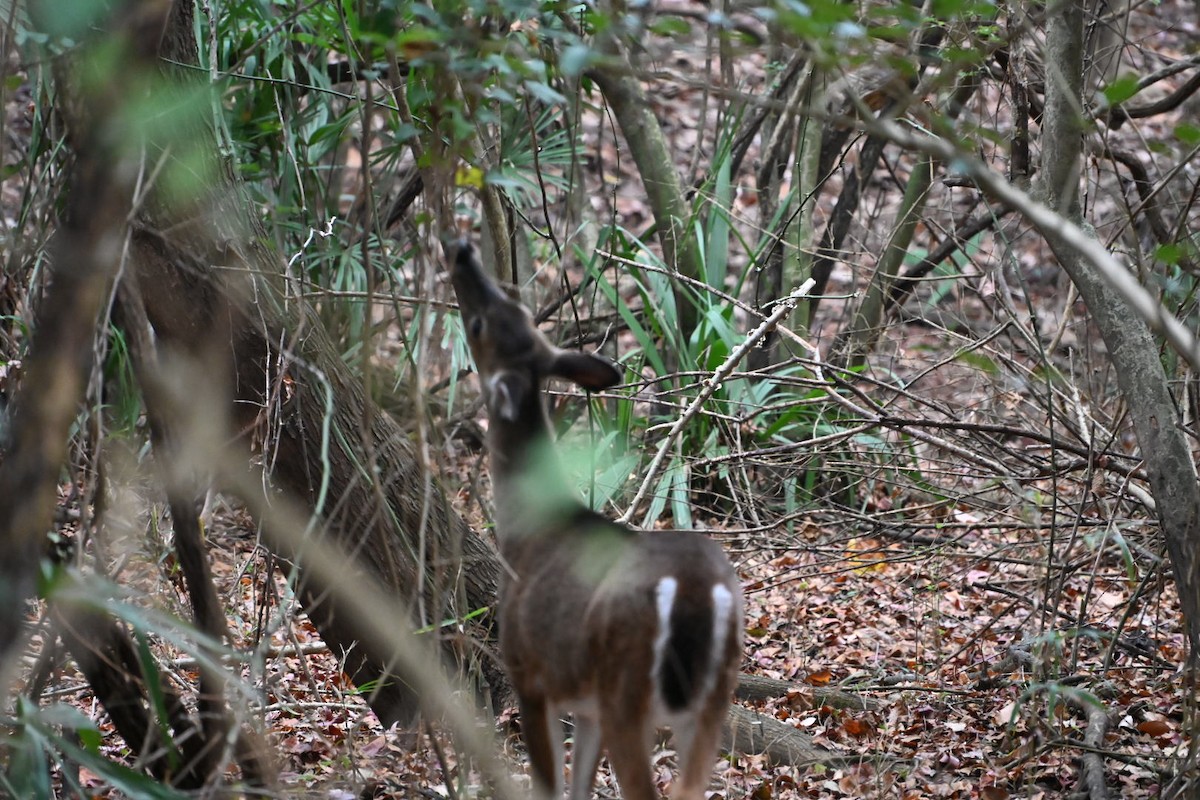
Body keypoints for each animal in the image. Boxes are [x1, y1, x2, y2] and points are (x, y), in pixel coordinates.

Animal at [446, 238, 743, 800]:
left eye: (478, 325)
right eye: (516, 307)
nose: (464, 252)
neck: (526, 528)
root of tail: (695, 590)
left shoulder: (529, 675)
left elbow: (548, 786)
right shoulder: (585, 710)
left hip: (625, 688)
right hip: (711, 698)